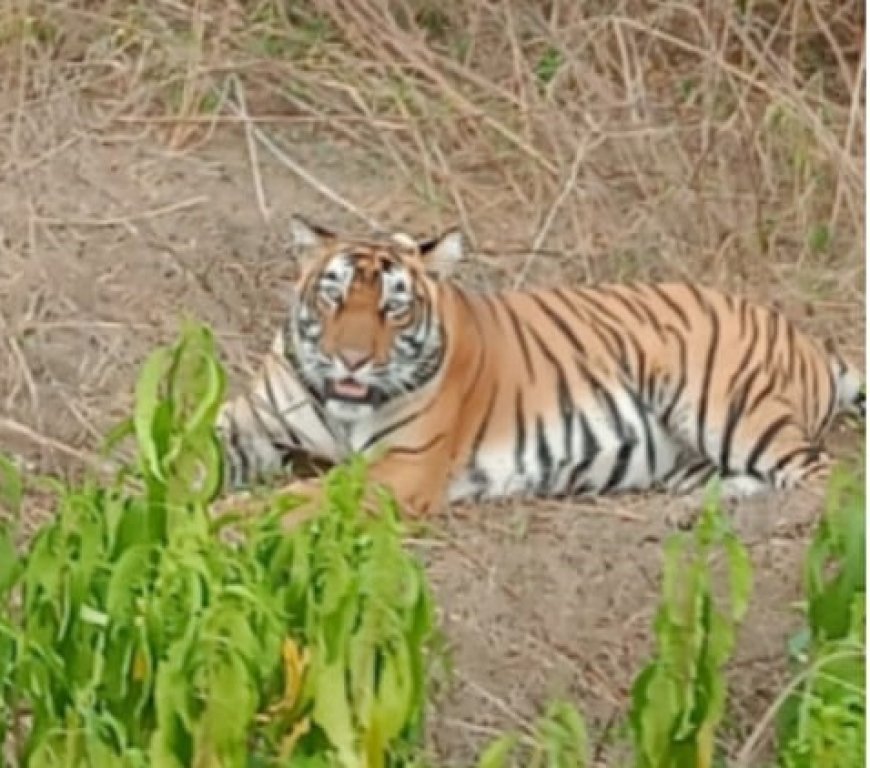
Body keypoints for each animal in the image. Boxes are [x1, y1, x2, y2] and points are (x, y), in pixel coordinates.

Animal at [216, 216, 864, 516]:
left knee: (821, 476)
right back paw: (697, 509)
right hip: (692, 456)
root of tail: (807, 339)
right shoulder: (254, 420)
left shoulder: (399, 469)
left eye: (393, 307)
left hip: (729, 405)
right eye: (334, 296)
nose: (350, 359)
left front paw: (227, 518)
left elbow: (295, 499)